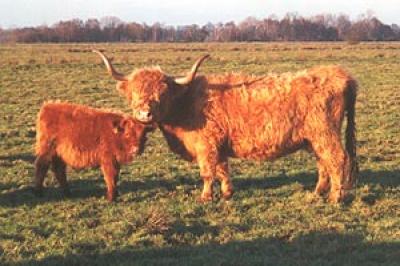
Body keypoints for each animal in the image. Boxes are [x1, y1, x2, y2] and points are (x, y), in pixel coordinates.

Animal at [94, 50, 360, 204]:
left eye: (162, 92)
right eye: (134, 92)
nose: (144, 113)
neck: (186, 102)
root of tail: (341, 74)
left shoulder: (207, 146)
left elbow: (207, 172)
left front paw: (205, 197)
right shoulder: (219, 146)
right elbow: (223, 170)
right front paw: (227, 193)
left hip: (325, 133)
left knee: (337, 159)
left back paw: (335, 197)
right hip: (314, 138)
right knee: (323, 162)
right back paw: (318, 192)